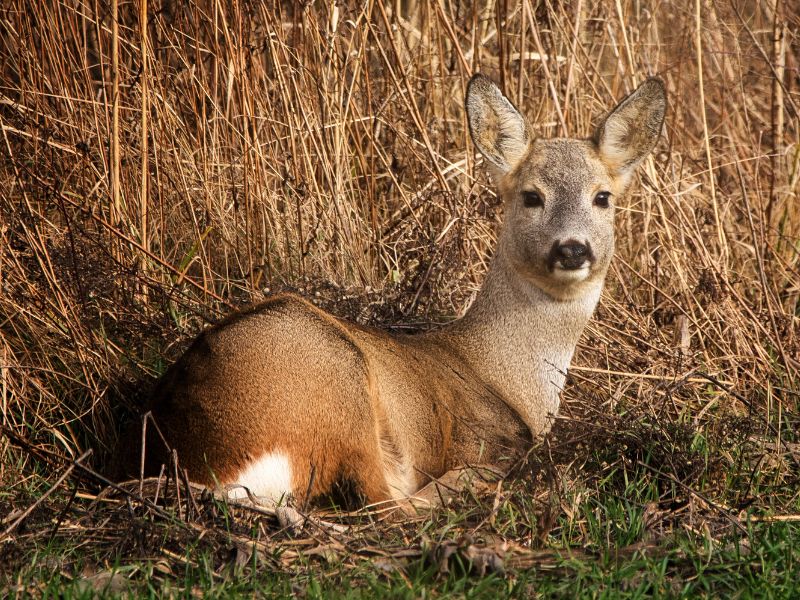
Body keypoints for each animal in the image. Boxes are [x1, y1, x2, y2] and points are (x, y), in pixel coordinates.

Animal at [123, 75, 664, 506]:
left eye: (603, 197)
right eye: (532, 196)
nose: (572, 248)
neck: (502, 373)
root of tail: (206, 464)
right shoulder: (474, 438)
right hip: (333, 376)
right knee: (385, 505)